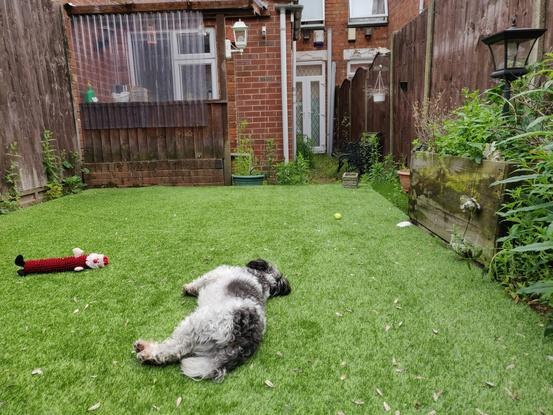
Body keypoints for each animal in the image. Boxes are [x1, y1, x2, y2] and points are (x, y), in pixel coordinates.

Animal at [133, 260, 292, 384]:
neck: (263, 279)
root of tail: (243, 340)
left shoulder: (216, 272)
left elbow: (200, 280)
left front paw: (188, 288)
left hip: (196, 324)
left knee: (175, 348)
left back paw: (146, 350)